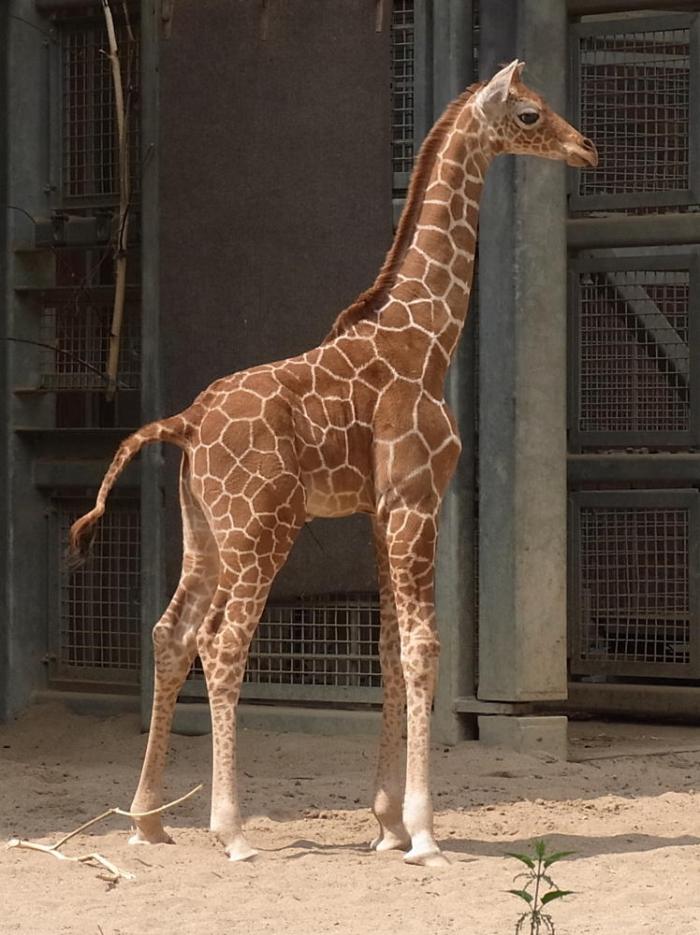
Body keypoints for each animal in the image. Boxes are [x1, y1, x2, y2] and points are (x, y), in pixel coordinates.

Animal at [69, 61, 597, 867]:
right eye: (531, 115)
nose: (587, 149)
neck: (430, 338)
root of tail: (184, 423)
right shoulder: (416, 499)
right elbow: (424, 647)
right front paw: (423, 834)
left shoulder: (380, 512)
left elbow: (388, 652)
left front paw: (384, 825)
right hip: (262, 528)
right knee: (222, 643)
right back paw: (232, 831)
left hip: (206, 531)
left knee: (170, 633)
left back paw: (149, 820)